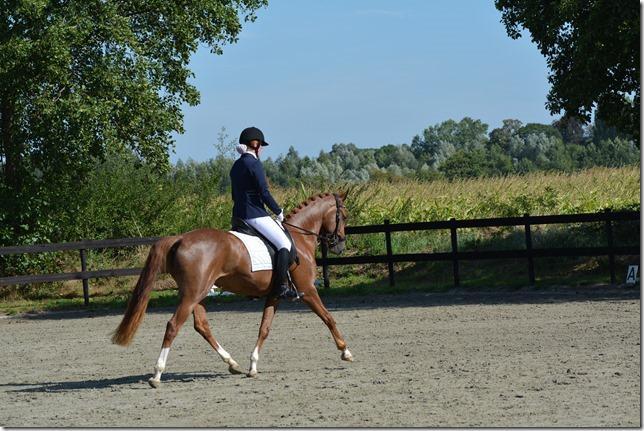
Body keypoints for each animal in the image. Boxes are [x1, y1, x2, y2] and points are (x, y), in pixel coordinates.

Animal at [111, 191, 353, 388]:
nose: (340, 244)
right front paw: (346, 351)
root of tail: (179, 238)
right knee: (173, 326)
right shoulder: (308, 290)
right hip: (192, 294)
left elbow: (264, 328)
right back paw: (157, 375)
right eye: (344, 216)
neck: (300, 239)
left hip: (195, 294)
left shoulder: (275, 294)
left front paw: (253, 367)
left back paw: (232, 363)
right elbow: (328, 317)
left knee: (202, 326)